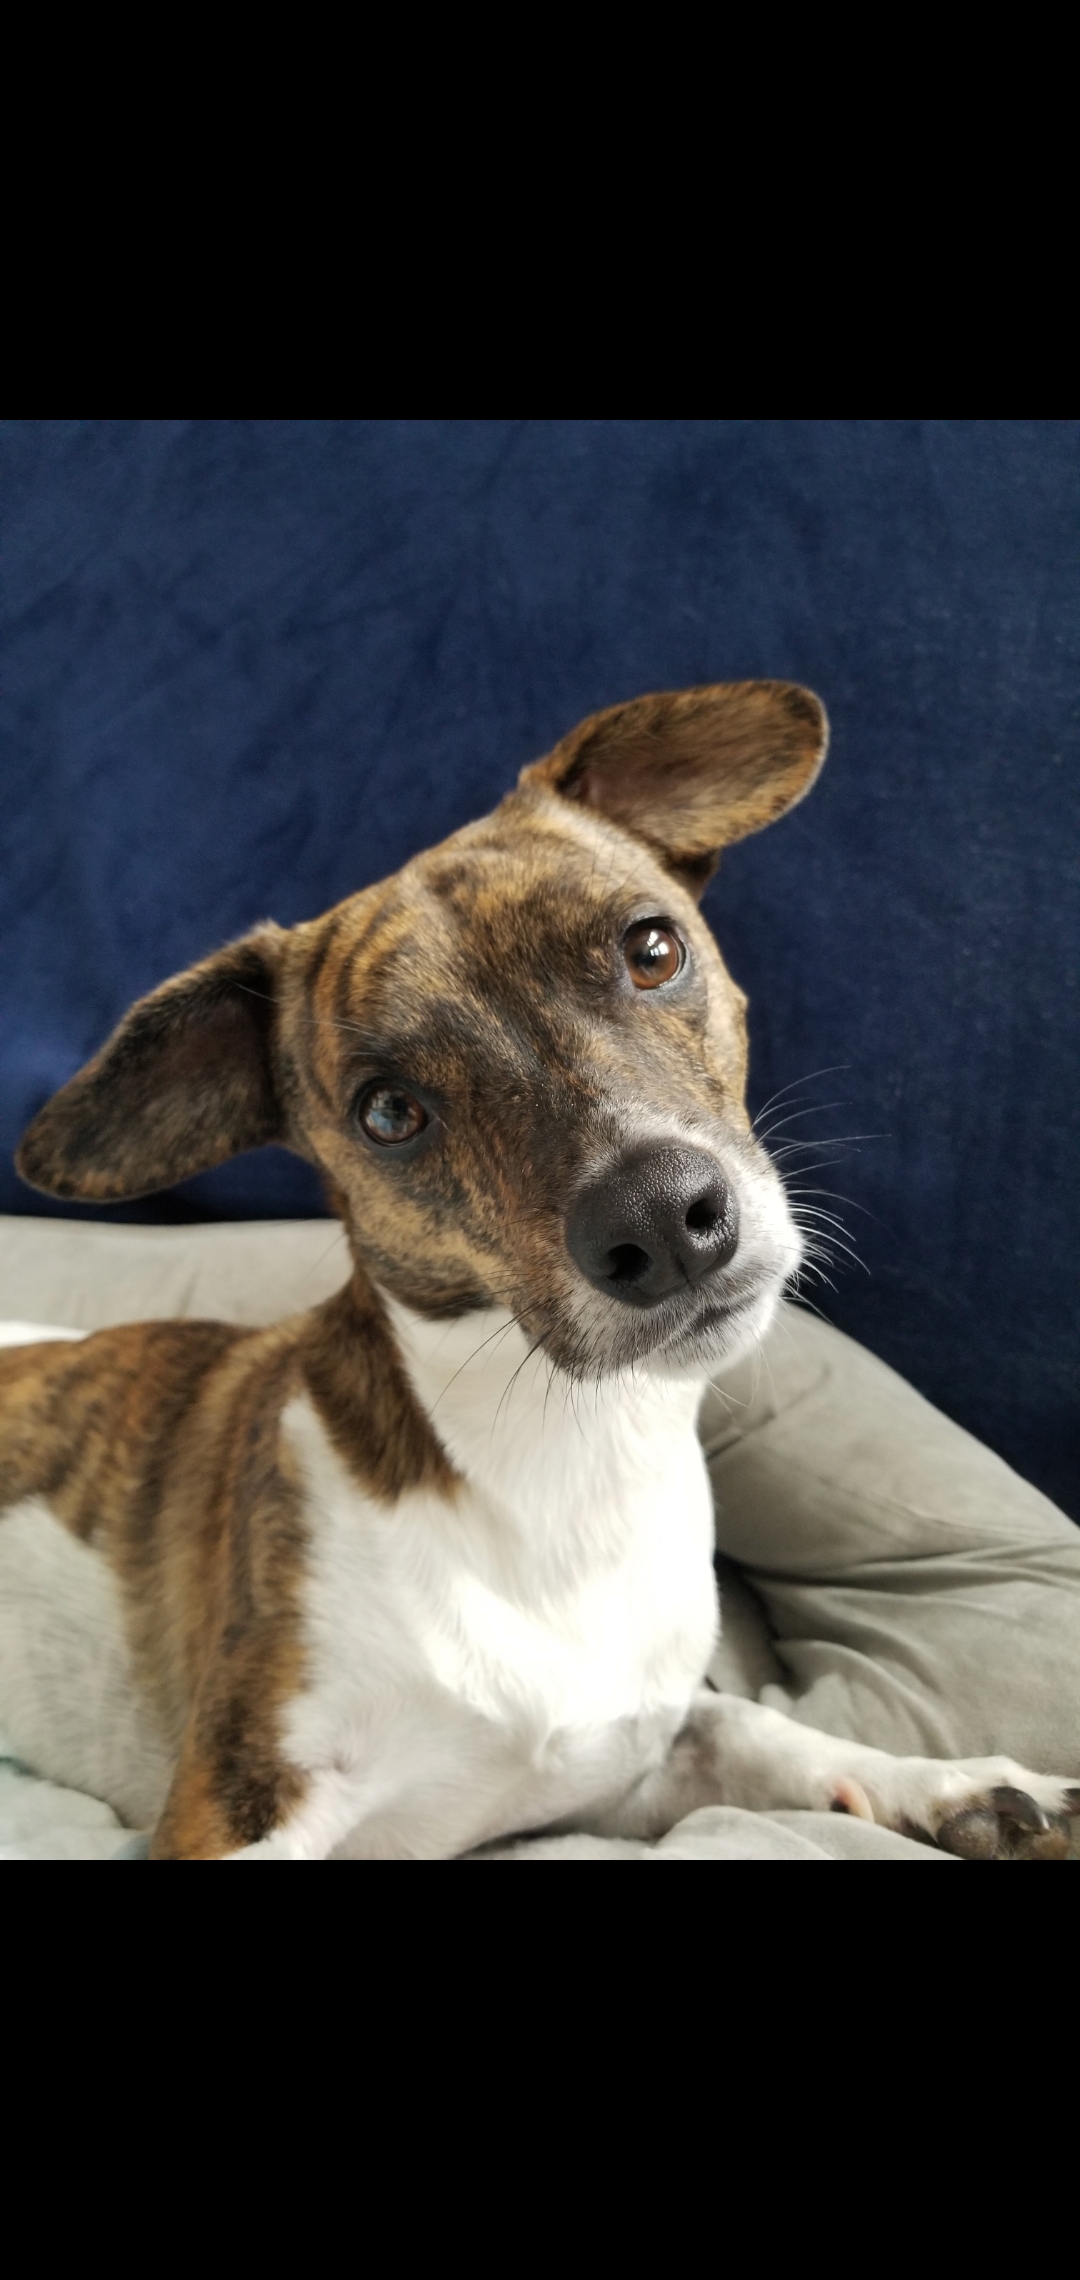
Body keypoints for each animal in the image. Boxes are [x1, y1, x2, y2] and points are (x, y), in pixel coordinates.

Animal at [2, 680, 1076, 1859]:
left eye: (652, 949)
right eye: (388, 1112)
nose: (661, 1221)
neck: (564, 1467)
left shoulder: (627, 1770)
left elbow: (759, 1728)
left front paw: (956, 1784)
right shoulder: (236, 1807)